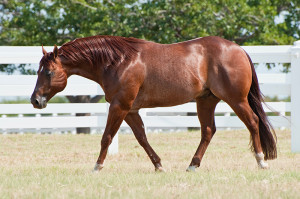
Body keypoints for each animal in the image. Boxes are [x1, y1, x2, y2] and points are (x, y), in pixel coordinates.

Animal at [30, 35, 276, 171]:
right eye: (38, 71)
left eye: (48, 72)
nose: (35, 100)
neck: (118, 62)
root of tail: (239, 49)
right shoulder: (130, 110)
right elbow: (142, 138)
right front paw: (159, 165)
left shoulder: (120, 106)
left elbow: (106, 137)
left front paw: (97, 167)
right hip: (206, 101)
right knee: (208, 131)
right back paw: (192, 165)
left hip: (236, 100)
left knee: (253, 122)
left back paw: (261, 161)